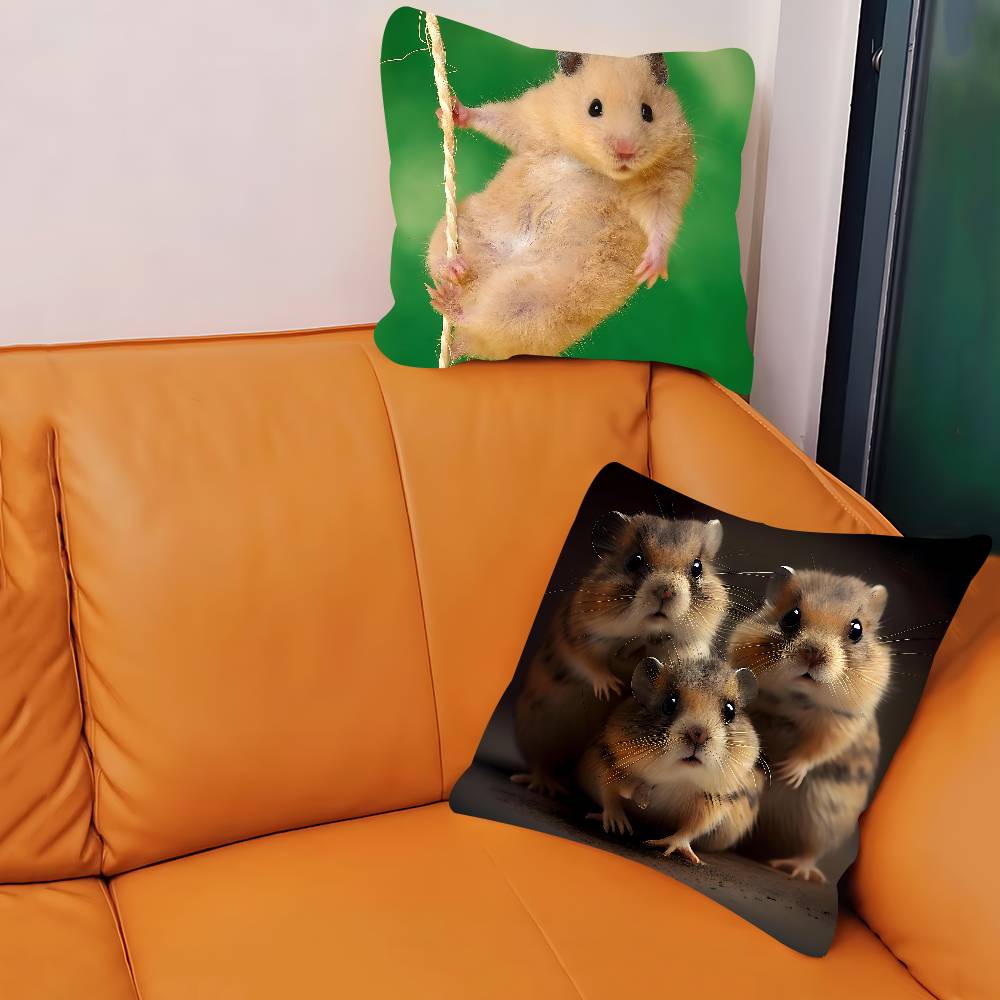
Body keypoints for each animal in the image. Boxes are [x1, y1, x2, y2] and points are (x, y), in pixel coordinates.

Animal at [427, 51, 695, 360]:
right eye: (594, 108)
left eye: (647, 112)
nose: (625, 151)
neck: (595, 166)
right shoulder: (533, 118)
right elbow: (500, 120)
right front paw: (452, 112)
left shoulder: (670, 181)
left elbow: (661, 221)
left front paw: (651, 271)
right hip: (461, 226)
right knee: (448, 262)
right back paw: (454, 269)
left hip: (531, 307)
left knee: (482, 323)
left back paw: (449, 301)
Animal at [512, 512, 727, 796]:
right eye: (634, 561)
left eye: (697, 567)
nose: (666, 591)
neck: (647, 631)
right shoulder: (580, 634)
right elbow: (590, 663)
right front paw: (611, 690)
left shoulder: (691, 643)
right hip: (538, 729)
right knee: (539, 761)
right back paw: (546, 785)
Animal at [578, 654, 762, 865]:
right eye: (669, 703)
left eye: (730, 710)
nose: (698, 734)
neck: (675, 778)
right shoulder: (604, 763)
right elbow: (609, 796)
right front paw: (619, 827)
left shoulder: (713, 803)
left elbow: (690, 830)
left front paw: (664, 848)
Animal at [727, 567, 891, 882]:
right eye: (791, 617)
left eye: (856, 630)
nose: (813, 654)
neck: (795, 698)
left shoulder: (840, 723)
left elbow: (816, 749)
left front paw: (788, 773)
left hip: (824, 820)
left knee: (810, 851)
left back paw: (796, 869)